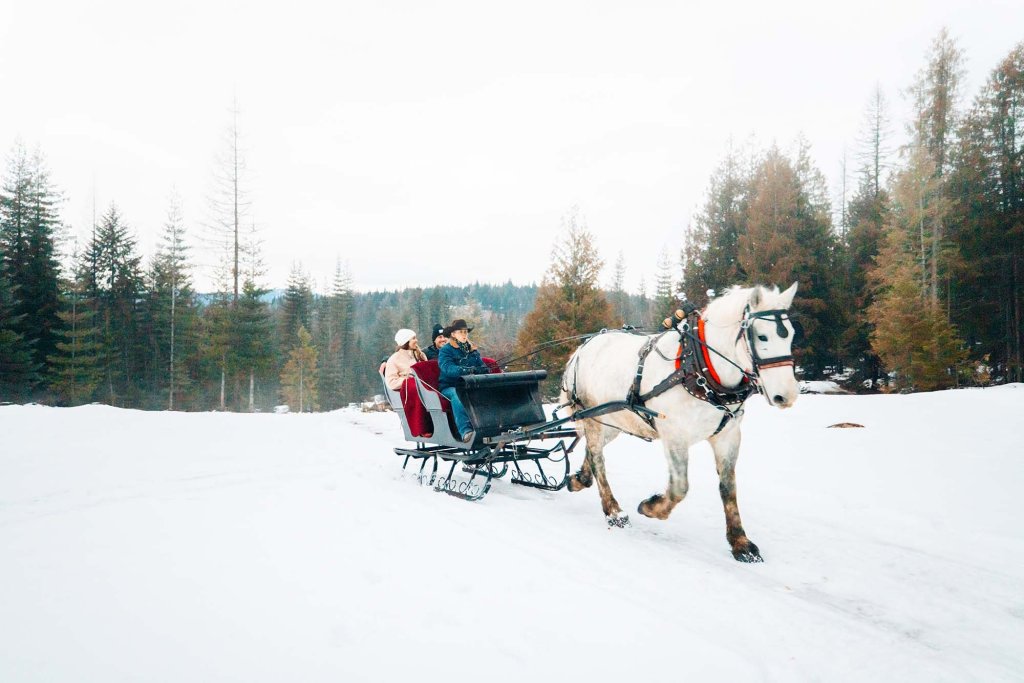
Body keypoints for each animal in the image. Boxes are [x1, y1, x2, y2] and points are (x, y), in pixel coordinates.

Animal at [559, 283, 800, 562]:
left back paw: (580, 479)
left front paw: (740, 542)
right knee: (598, 458)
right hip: (592, 416)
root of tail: (583, 348)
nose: (787, 395)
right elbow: (679, 488)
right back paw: (613, 511)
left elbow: (728, 487)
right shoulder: (674, 435)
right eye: (762, 337)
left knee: (591, 449)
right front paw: (651, 507)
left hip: (614, 421)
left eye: (791, 335)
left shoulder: (728, 434)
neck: (699, 366)